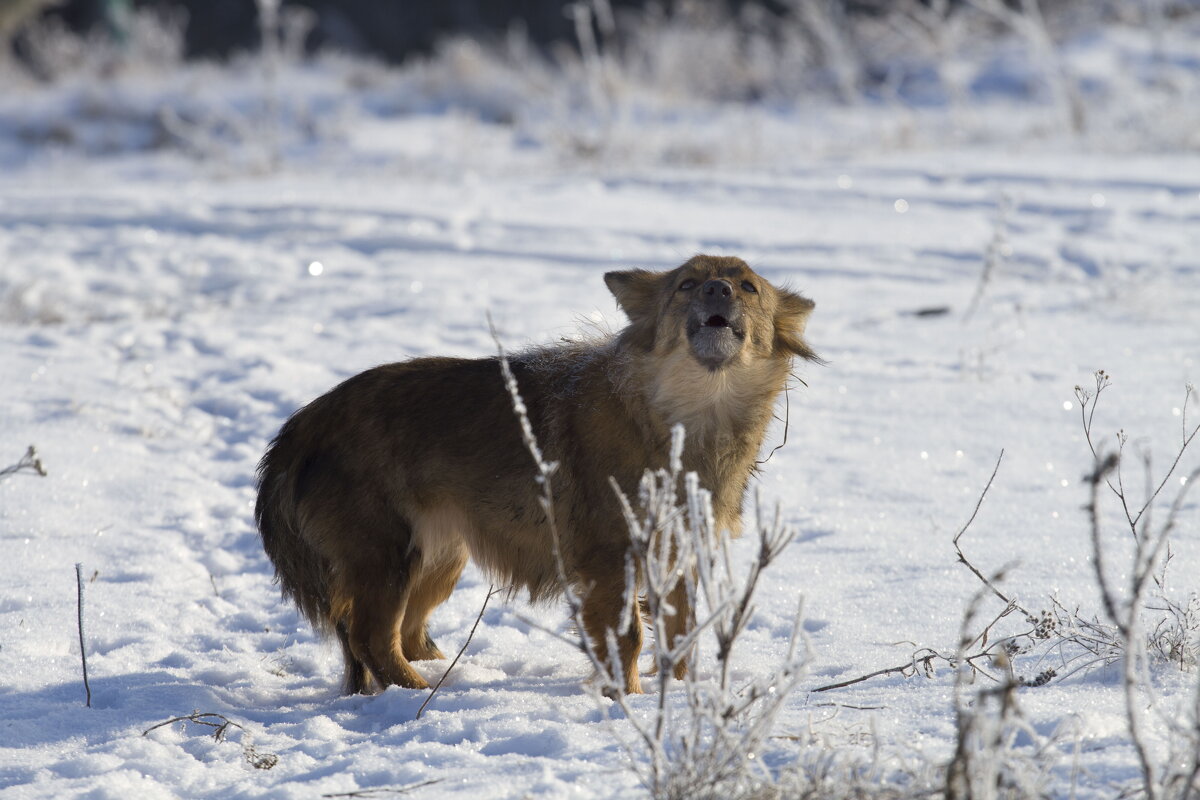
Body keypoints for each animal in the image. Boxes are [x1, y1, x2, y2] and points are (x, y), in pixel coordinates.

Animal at [253, 255, 816, 695]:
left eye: (748, 286)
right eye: (687, 284)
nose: (718, 289)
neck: (685, 418)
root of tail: (300, 426)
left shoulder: (677, 551)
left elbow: (681, 633)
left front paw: (680, 697)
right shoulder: (608, 557)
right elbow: (629, 636)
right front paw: (628, 701)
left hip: (440, 557)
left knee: (407, 635)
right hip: (390, 555)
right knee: (372, 638)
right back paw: (424, 694)